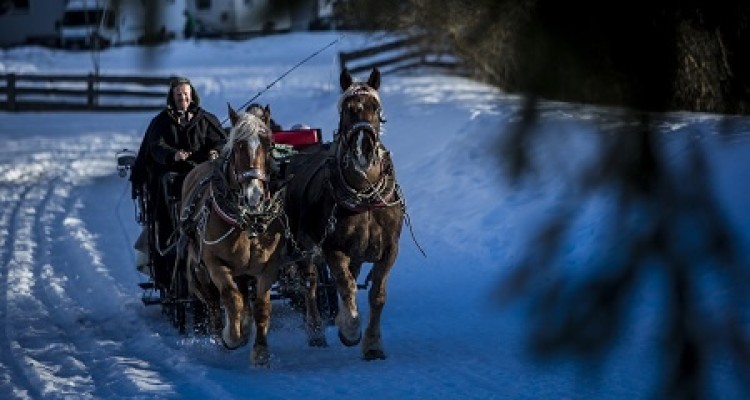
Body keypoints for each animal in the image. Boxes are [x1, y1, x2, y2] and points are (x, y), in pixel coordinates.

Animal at [178, 105, 286, 366]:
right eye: (238, 146)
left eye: (268, 143)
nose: (254, 195)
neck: (246, 222)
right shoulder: (215, 263)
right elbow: (231, 298)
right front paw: (233, 336)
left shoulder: (269, 266)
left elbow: (262, 307)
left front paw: (260, 351)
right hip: (199, 271)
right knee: (213, 303)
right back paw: (222, 336)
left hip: (243, 272)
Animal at [284, 68, 406, 360]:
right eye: (348, 109)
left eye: (376, 108)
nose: (364, 148)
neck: (365, 194)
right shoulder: (334, 249)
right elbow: (346, 285)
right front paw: (350, 329)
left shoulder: (389, 249)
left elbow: (377, 295)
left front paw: (372, 344)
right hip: (302, 246)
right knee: (310, 283)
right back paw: (316, 332)